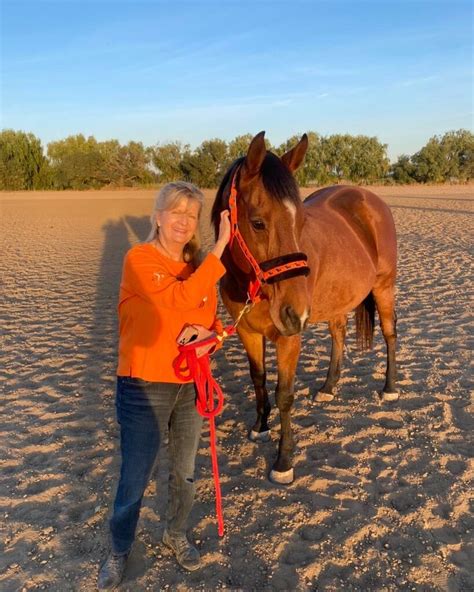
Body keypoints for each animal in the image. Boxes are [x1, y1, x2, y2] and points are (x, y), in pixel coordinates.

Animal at [211, 132, 396, 484]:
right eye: (258, 223)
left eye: (300, 222)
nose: (295, 312)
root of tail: (368, 197)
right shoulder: (247, 332)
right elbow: (258, 379)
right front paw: (260, 426)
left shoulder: (288, 338)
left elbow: (284, 394)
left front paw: (283, 460)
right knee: (338, 336)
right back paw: (328, 387)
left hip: (384, 287)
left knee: (390, 336)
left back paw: (390, 388)